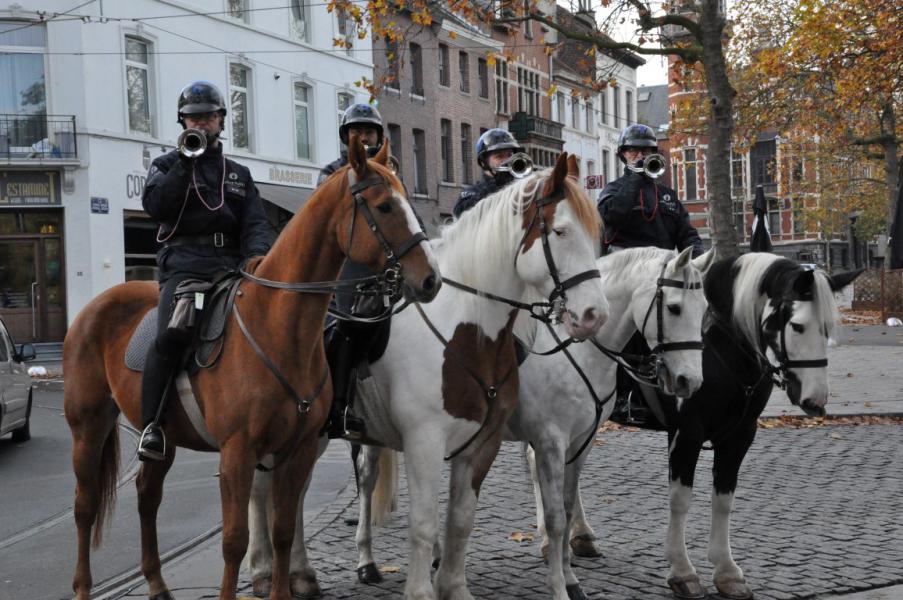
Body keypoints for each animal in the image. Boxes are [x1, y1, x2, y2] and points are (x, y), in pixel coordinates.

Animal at [61, 139, 440, 600]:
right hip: (89, 426)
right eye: (384, 206)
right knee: (84, 505)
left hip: (165, 437)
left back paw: (156, 583)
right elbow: (234, 539)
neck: (279, 326)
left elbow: (282, 528)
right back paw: (84, 587)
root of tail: (94, 306)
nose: (431, 279)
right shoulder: (238, 452)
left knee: (147, 496)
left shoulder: (297, 449)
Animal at [247, 152, 608, 596]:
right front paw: (422, 590)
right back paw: (265, 570)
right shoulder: (425, 442)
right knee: (263, 489)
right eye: (559, 231)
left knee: (293, 495)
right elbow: (423, 523)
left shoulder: (482, 443)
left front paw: (454, 586)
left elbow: (461, 520)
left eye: (595, 236)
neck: (463, 330)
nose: (595, 315)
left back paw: (302, 573)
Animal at [512, 245, 716, 600]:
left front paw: (569, 577)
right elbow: (555, 516)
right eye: (674, 308)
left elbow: (566, 509)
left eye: (704, 310)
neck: (577, 351)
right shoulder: (552, 439)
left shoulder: (582, 439)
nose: (690, 381)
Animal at [564, 253, 860, 600]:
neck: (722, 347)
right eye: (798, 326)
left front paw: (726, 570)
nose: (816, 401)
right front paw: (683, 570)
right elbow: (680, 499)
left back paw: (580, 536)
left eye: (828, 327)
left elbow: (724, 499)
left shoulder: (740, 436)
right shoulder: (686, 434)